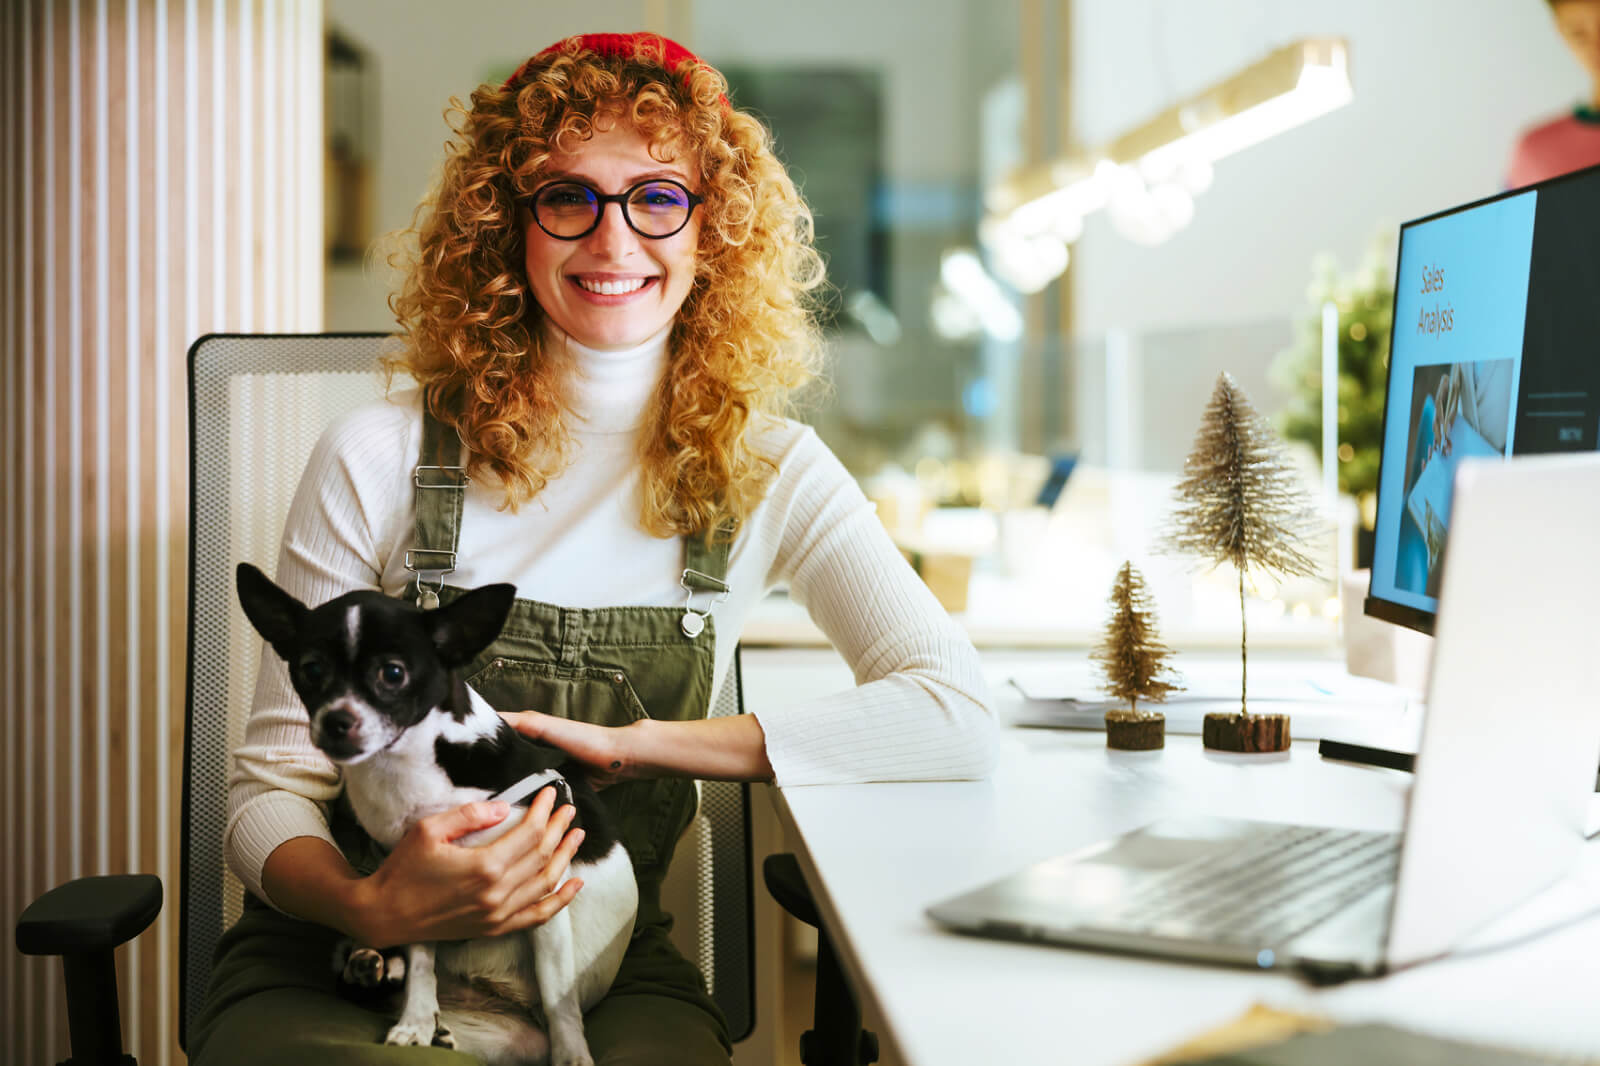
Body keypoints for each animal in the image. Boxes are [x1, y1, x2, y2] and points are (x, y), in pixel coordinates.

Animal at [236, 560, 636, 1056]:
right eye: (311, 669)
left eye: (393, 673)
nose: (336, 721)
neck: (409, 764)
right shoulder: (422, 893)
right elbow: (422, 961)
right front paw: (416, 1019)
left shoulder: (543, 896)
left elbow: (559, 999)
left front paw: (572, 1057)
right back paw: (376, 972)